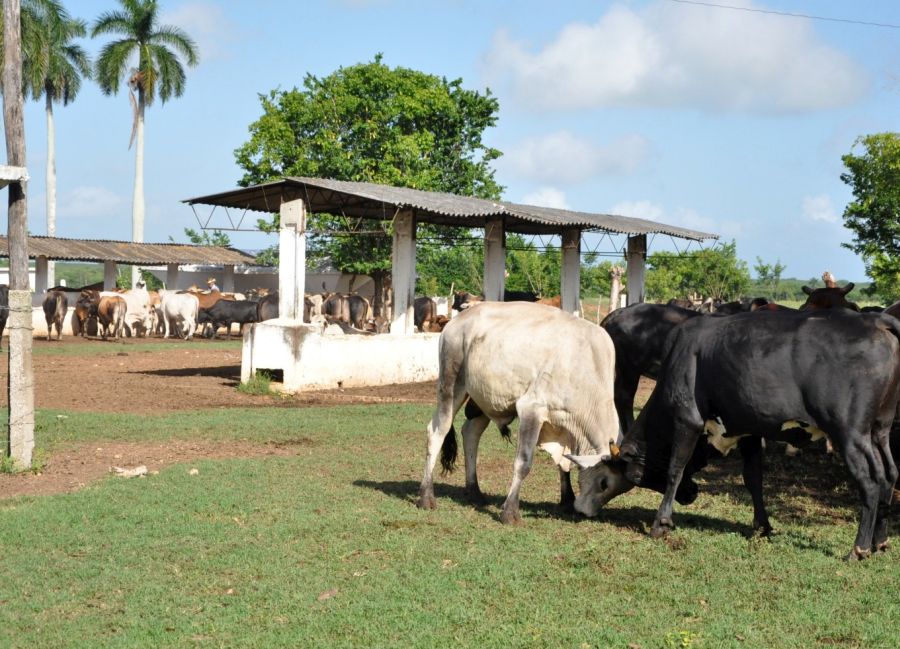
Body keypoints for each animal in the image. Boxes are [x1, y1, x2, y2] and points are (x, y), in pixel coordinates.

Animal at [416, 302, 624, 524]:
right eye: (604, 483)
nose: (587, 513)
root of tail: (457, 320)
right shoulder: (531, 409)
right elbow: (523, 463)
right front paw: (510, 512)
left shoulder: (563, 427)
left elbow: (564, 462)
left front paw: (567, 500)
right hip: (451, 385)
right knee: (437, 431)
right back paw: (426, 496)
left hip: (484, 398)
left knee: (471, 432)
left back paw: (474, 492)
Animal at [576, 308, 900, 556]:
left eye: (606, 481)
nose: (581, 509)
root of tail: (875, 319)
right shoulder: (749, 430)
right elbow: (753, 478)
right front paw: (762, 526)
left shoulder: (688, 419)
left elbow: (674, 470)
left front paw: (661, 523)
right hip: (879, 431)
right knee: (889, 476)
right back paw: (880, 541)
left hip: (850, 434)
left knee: (871, 482)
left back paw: (859, 548)